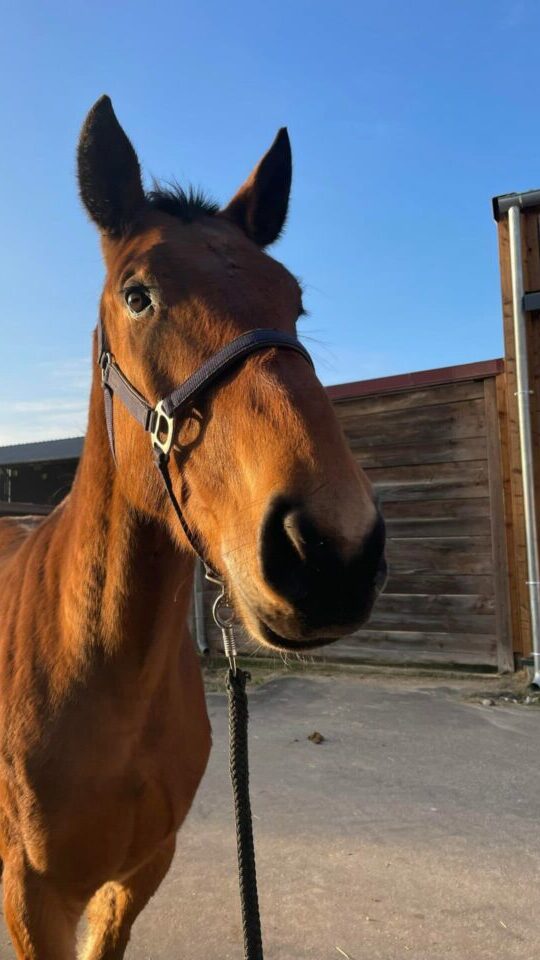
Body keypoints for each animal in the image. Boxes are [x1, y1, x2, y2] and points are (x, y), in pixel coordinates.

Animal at [0, 99, 386, 960]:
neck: (109, 676)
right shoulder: (34, 895)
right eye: (137, 295)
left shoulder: (136, 877)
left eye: (294, 300)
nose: (332, 551)